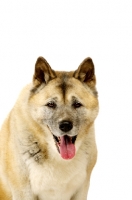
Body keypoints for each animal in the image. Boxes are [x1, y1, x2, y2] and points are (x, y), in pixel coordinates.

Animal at [0, 56, 98, 200]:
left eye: (77, 104)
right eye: (51, 104)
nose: (65, 125)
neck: (57, 157)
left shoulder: (81, 189)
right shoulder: (23, 191)